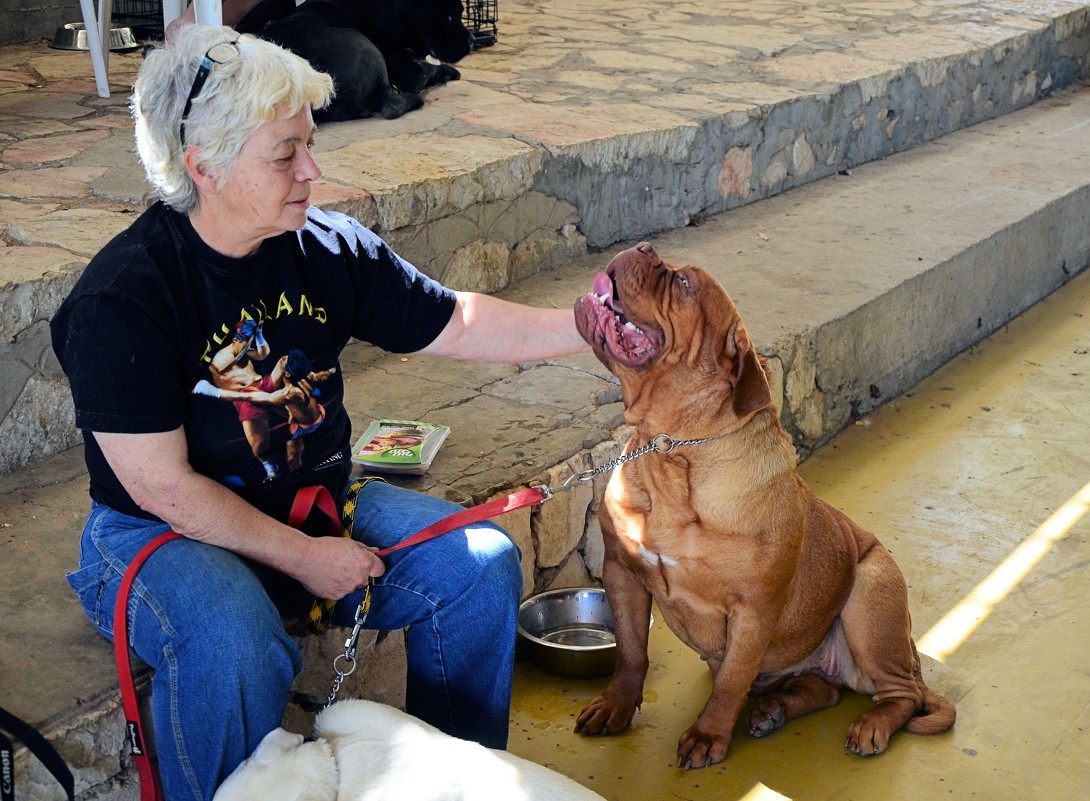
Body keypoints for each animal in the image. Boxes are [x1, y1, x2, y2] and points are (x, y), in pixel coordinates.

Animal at [262, 0, 473, 120]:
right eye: (449, 17)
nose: (472, 41)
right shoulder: (411, 73)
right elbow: (426, 67)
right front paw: (448, 71)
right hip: (366, 46)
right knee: (393, 105)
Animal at [571, 240, 954, 767]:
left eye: (683, 283)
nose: (645, 246)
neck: (672, 450)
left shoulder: (752, 611)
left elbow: (730, 682)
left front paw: (708, 735)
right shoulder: (621, 572)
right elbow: (631, 654)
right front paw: (616, 707)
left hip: (871, 596)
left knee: (902, 694)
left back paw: (870, 726)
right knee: (822, 689)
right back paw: (774, 708)